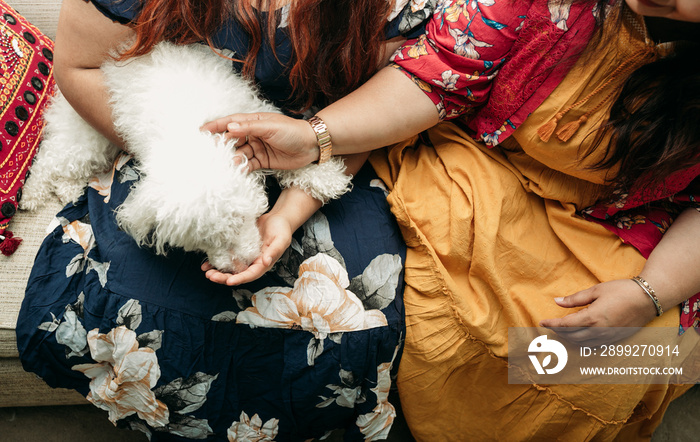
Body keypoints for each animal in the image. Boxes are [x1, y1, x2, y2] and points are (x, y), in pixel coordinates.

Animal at [21, 42, 350, 272]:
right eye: (204, 241)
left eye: (241, 222)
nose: (240, 267)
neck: (191, 133)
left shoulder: (248, 117)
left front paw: (325, 176)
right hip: (85, 140)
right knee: (47, 162)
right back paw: (31, 195)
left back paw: (67, 189)